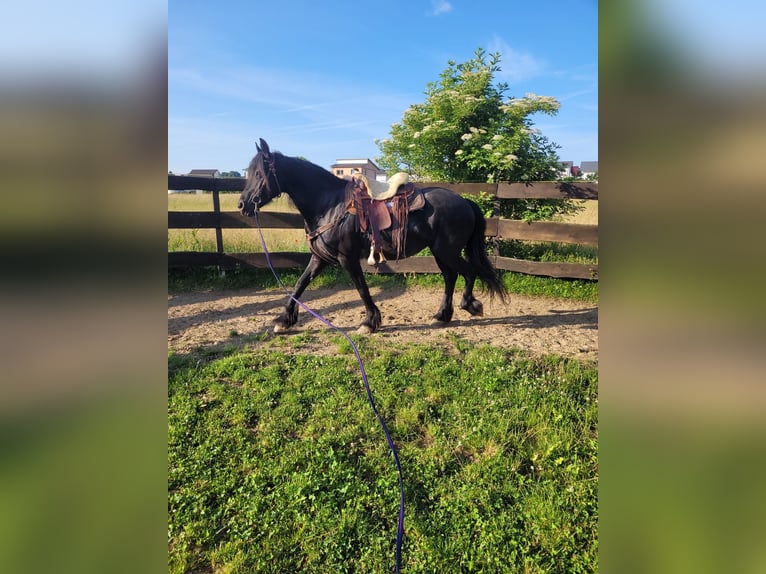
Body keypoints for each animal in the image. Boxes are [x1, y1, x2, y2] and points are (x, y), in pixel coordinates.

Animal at [239, 138, 507, 334]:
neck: (330, 205)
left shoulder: (346, 258)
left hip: (447, 251)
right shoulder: (319, 258)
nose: (242, 205)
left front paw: (369, 322)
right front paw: (284, 320)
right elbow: (299, 284)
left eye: (259, 174)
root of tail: (464, 201)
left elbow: (361, 288)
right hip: (441, 253)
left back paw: (469, 305)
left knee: (467, 273)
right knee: (451, 277)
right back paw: (442, 315)